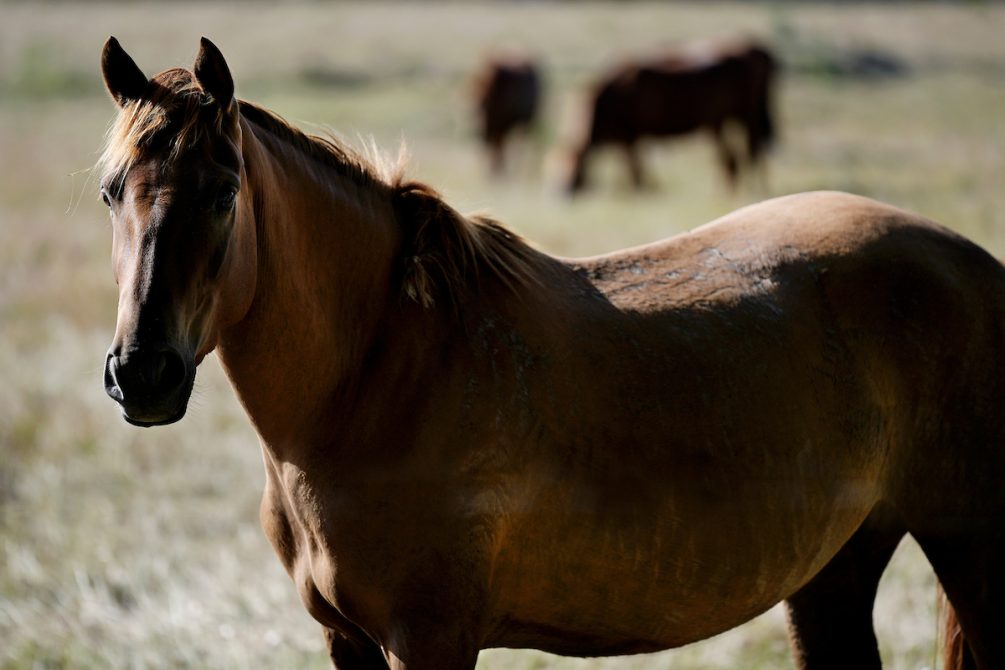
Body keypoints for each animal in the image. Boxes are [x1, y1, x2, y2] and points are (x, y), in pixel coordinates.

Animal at [566, 38, 775, 192]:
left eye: (573, 161)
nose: (564, 190)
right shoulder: (626, 140)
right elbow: (634, 167)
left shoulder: (630, 137)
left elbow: (635, 169)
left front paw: (643, 188)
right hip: (722, 121)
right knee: (735, 156)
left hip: (744, 117)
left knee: (746, 153)